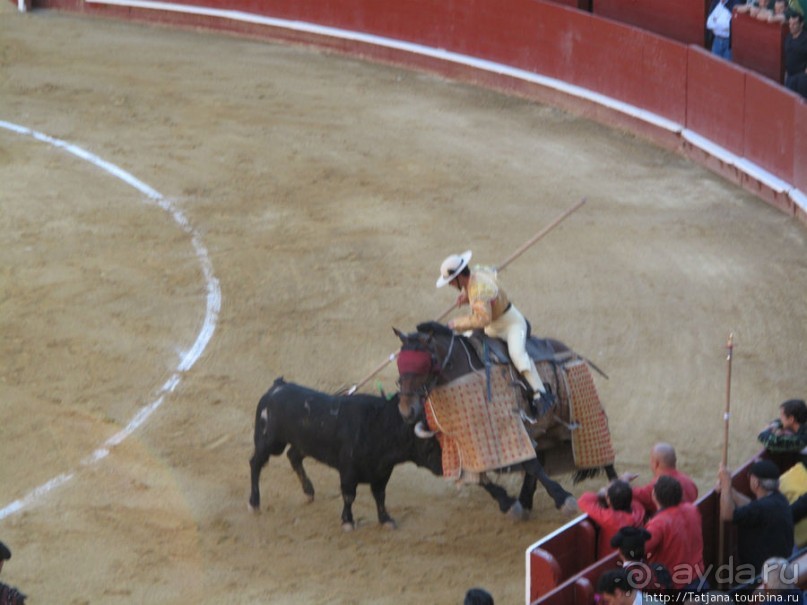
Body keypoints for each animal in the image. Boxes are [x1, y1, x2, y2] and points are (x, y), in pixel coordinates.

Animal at [246, 376, 548, 528]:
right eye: (432, 445)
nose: (453, 467)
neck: (380, 429)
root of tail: (276, 387)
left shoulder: (382, 473)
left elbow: (380, 496)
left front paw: (386, 519)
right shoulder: (349, 471)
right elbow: (349, 495)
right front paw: (348, 521)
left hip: (297, 443)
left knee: (294, 456)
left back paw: (309, 491)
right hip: (268, 441)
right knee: (256, 463)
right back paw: (254, 501)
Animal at [394, 320, 616, 520]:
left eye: (427, 362)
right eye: (399, 364)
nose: (406, 411)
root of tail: (569, 350)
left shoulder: (509, 426)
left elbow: (530, 464)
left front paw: (563, 499)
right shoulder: (465, 443)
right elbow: (479, 477)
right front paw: (510, 504)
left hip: (580, 412)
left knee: (602, 450)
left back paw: (615, 488)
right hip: (544, 429)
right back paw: (525, 500)